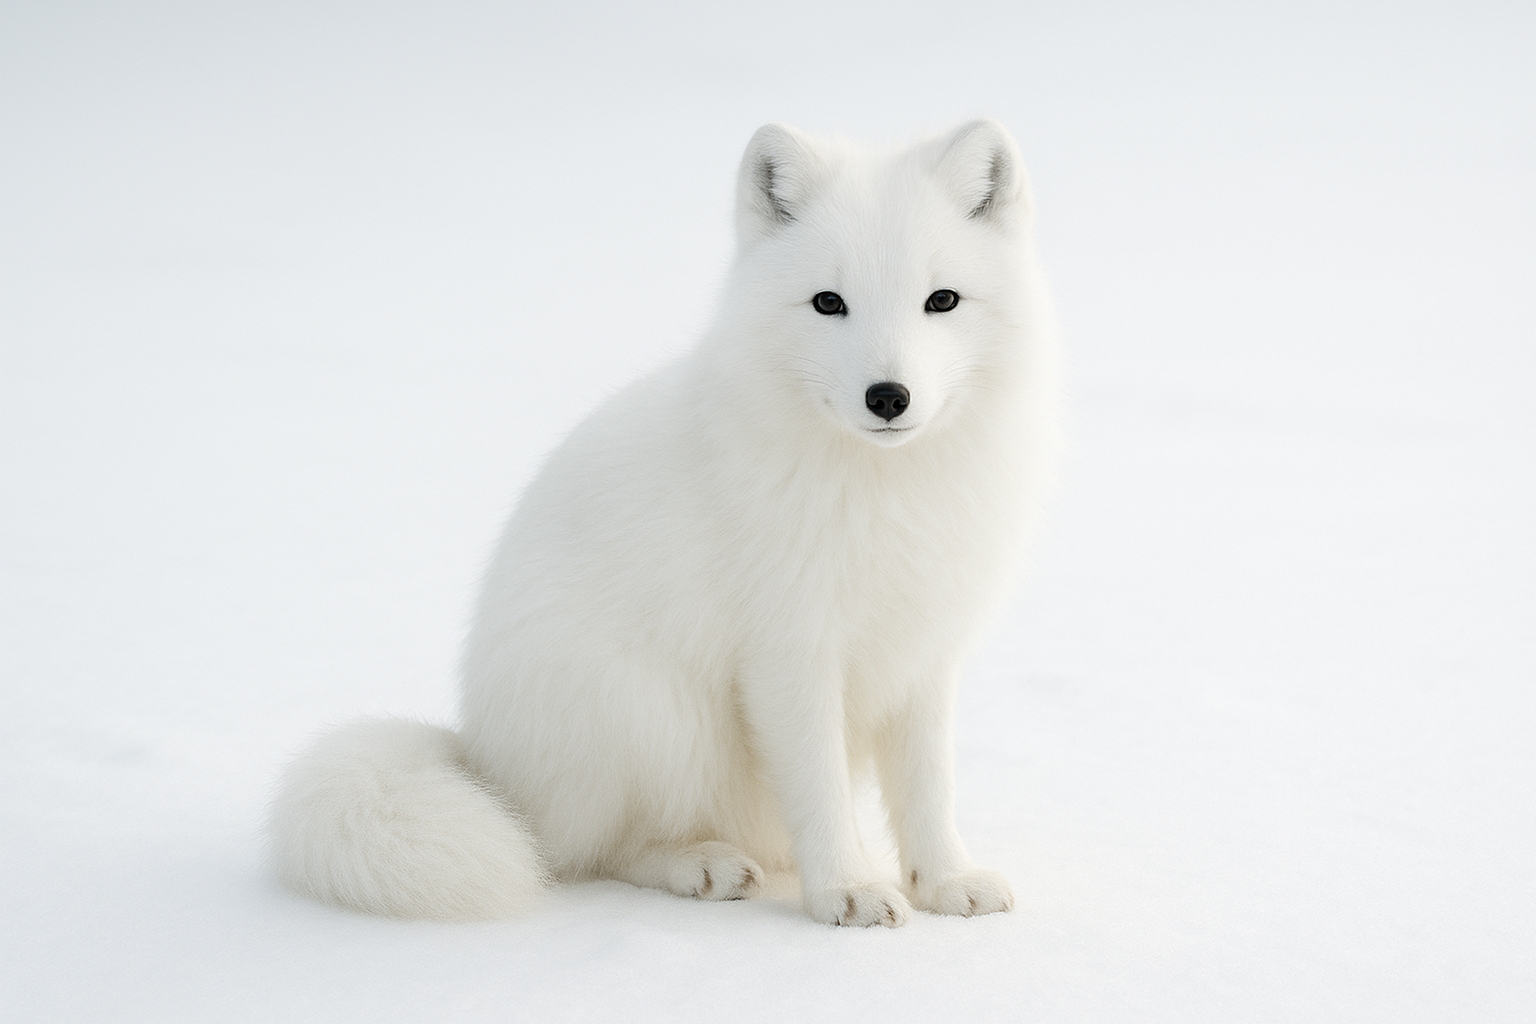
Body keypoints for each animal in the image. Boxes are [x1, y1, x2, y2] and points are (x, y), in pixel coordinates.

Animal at [267, 119, 1061, 927]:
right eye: (828, 302)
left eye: (942, 300)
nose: (888, 396)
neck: (886, 490)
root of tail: (485, 761)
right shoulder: (789, 653)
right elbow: (820, 788)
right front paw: (847, 889)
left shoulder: (925, 650)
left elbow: (929, 788)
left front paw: (944, 881)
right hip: (656, 714)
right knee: (584, 853)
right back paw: (699, 865)